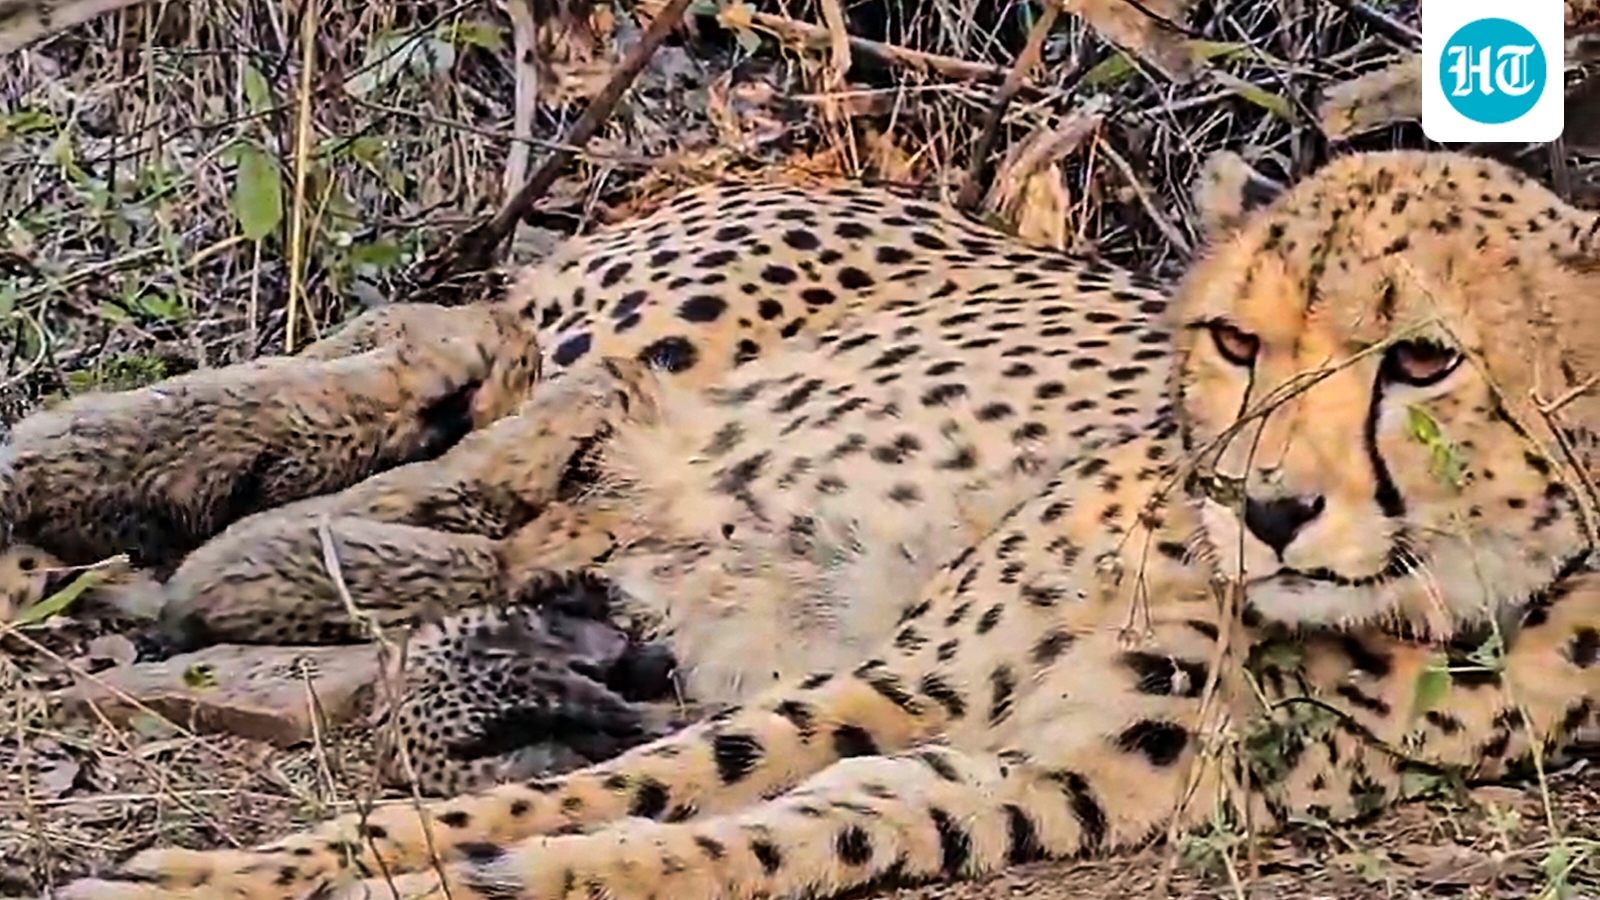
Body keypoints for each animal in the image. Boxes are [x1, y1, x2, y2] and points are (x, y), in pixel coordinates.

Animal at [47, 148, 1600, 900]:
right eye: (1234, 341)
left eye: (1425, 362)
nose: (1261, 505)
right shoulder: (907, 680)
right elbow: (601, 787)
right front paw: (223, 876)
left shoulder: (1045, 778)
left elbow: (739, 834)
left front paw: (507, 877)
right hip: (661, 327)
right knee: (466, 358)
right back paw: (105, 486)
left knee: (526, 480)